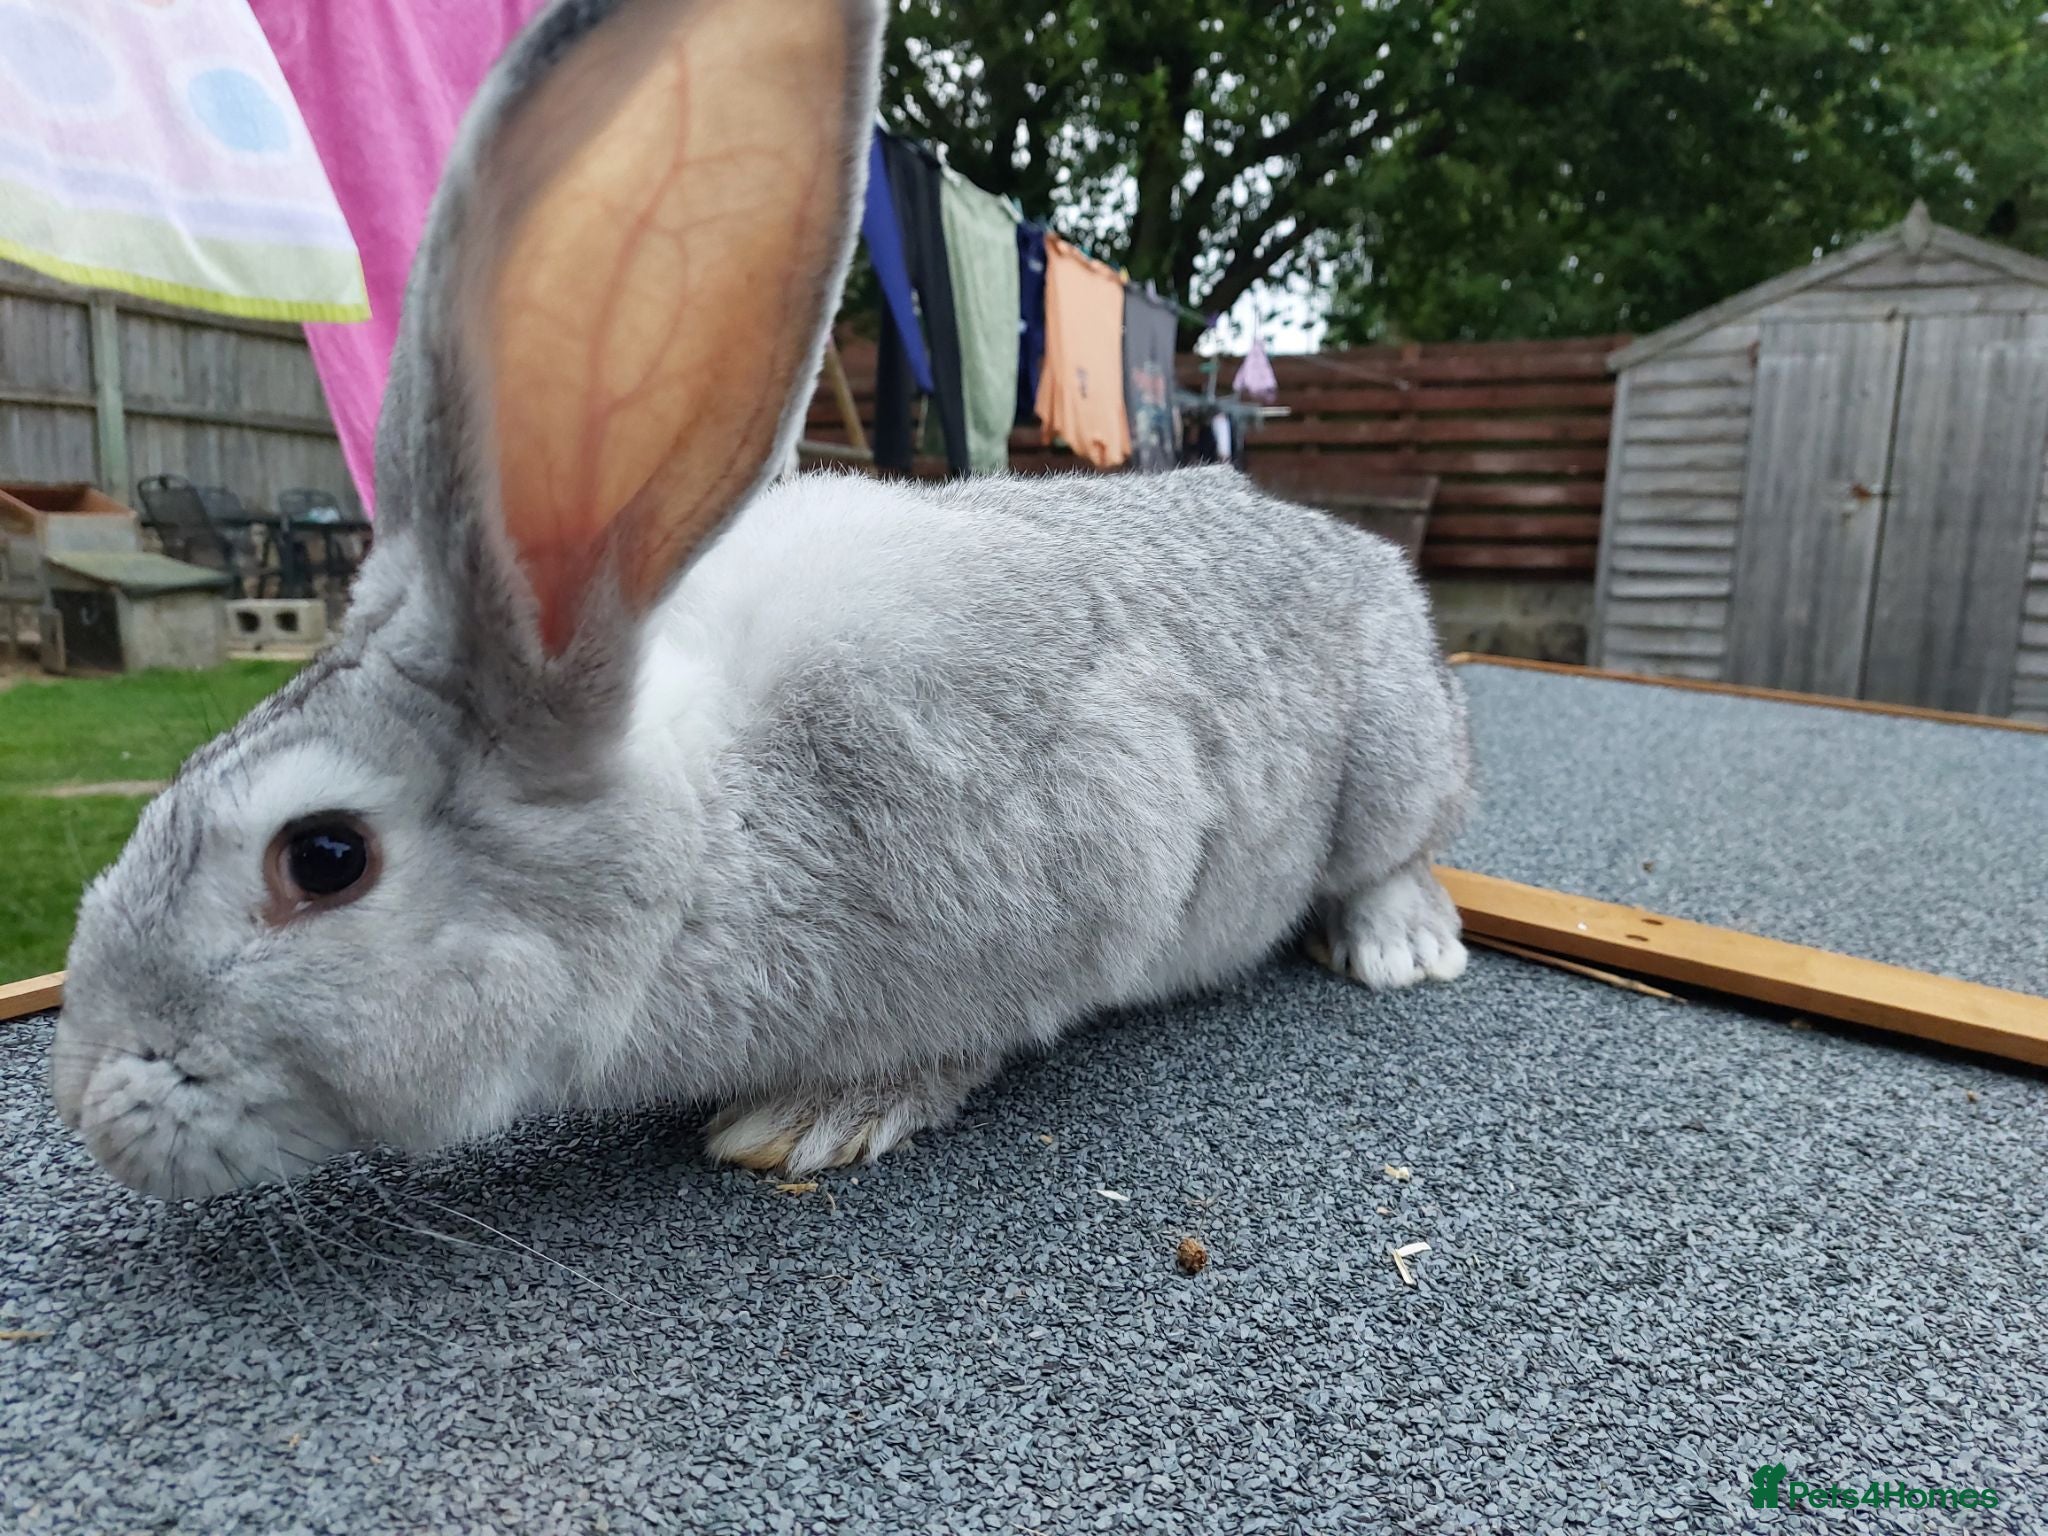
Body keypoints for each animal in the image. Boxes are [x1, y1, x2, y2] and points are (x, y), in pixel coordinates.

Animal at [48, 0, 1472, 1203]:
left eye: (324, 858)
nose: (89, 1102)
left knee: (1393, 858)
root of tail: (1353, 554)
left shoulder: (1091, 859)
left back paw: (1401, 947)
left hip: (1390, 765)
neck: (705, 835)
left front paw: (812, 1120)